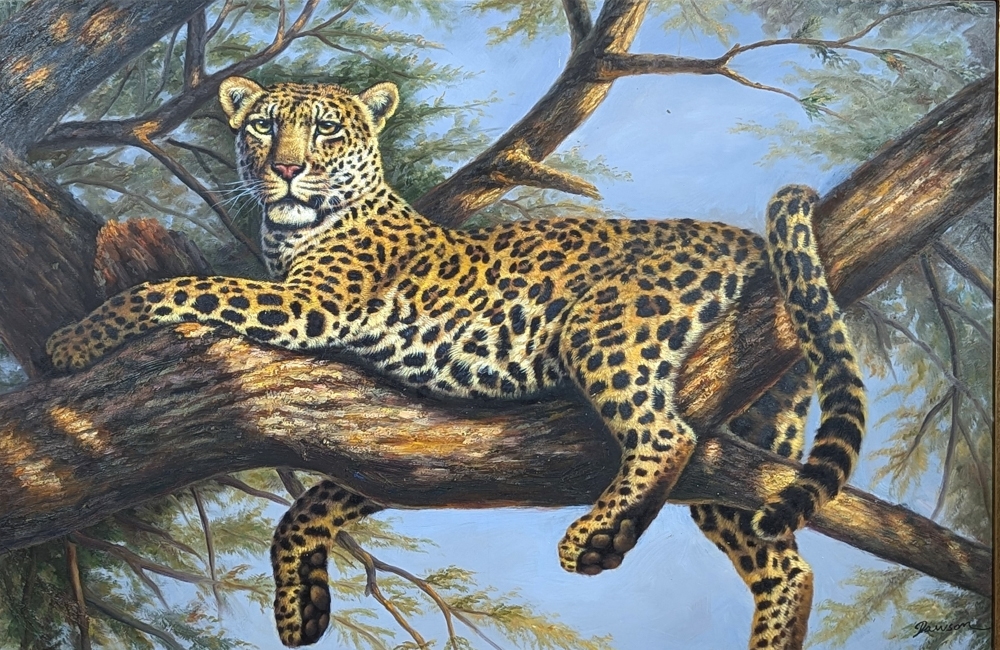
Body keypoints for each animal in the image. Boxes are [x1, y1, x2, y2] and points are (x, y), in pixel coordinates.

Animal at [46, 76, 866, 650]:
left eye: (324, 130)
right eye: (261, 125)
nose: (283, 170)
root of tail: (737, 236)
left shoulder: (310, 305)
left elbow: (179, 287)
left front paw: (72, 342)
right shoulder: (391, 437)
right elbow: (308, 507)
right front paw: (300, 608)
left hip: (605, 328)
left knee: (666, 435)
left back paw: (596, 537)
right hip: (749, 437)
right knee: (784, 560)